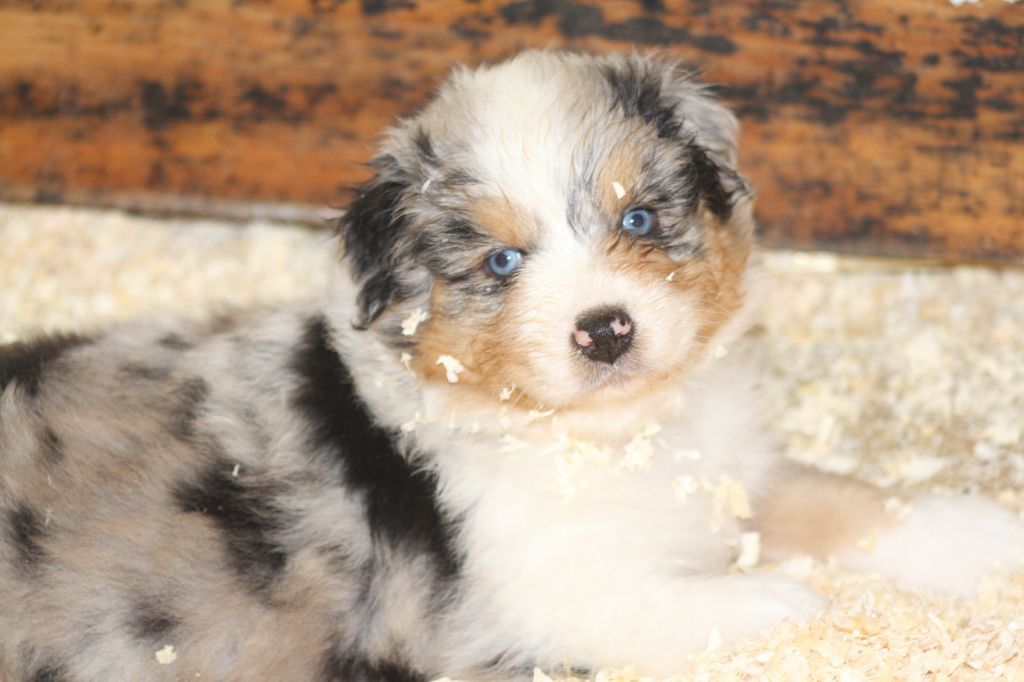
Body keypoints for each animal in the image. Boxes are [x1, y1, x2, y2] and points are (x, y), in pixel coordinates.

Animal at [2, 51, 1024, 679]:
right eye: (500, 263)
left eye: (639, 218)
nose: (605, 330)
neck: (606, 441)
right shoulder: (545, 598)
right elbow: (715, 601)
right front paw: (795, 605)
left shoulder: (731, 475)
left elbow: (850, 500)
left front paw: (988, 537)